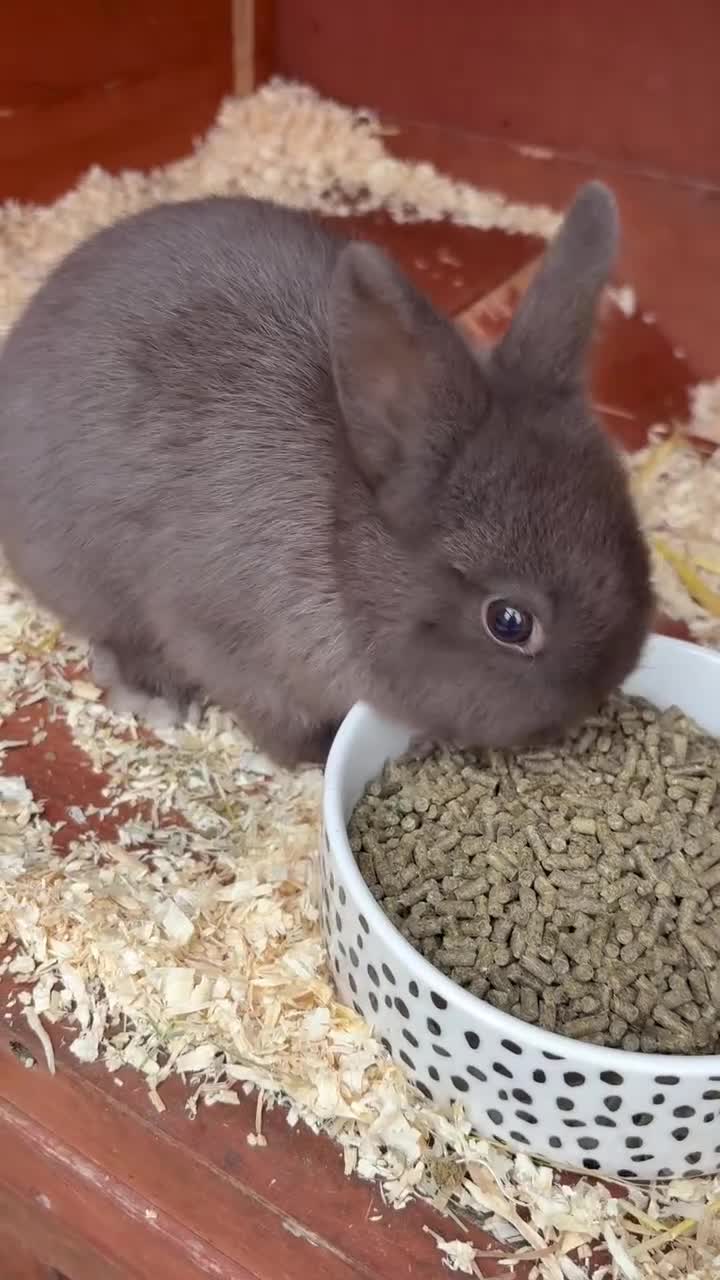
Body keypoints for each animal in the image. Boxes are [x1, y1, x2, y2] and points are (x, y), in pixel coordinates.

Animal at [0, 183, 652, 767]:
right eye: (509, 622)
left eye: (639, 552)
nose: (584, 706)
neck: (343, 550)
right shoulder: (229, 646)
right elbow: (274, 720)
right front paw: (313, 757)